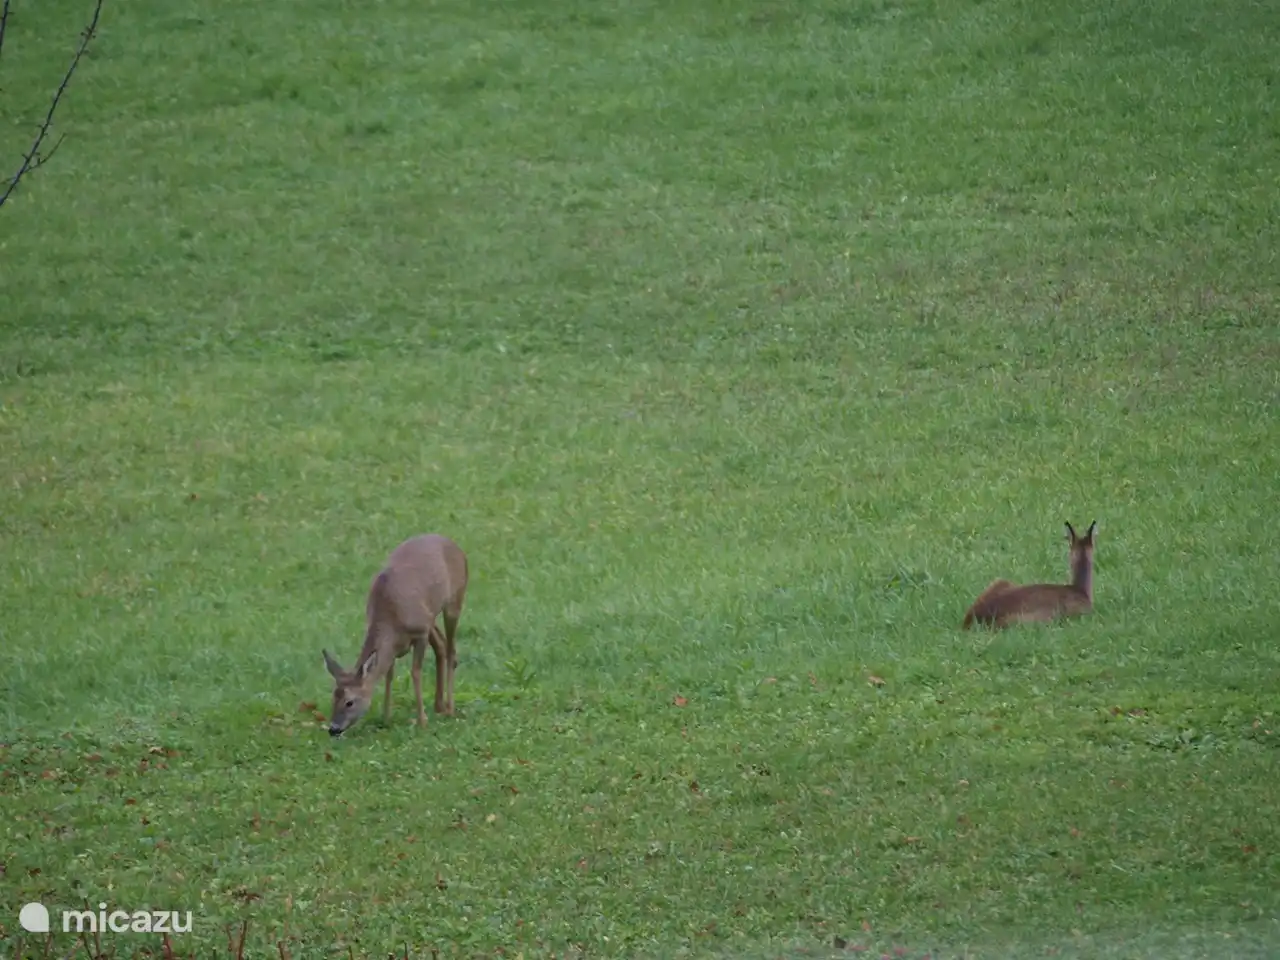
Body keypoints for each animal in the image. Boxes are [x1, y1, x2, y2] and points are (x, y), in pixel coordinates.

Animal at [322, 533, 468, 737]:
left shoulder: (420, 632)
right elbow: (389, 675)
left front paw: (422, 721)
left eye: (349, 702)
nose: (333, 729)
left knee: (451, 651)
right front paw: (386, 718)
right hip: (430, 615)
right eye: (333, 698)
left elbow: (415, 672)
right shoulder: (395, 645)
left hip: (454, 602)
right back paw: (439, 705)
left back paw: (449, 708)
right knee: (441, 644)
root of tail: (457, 547)